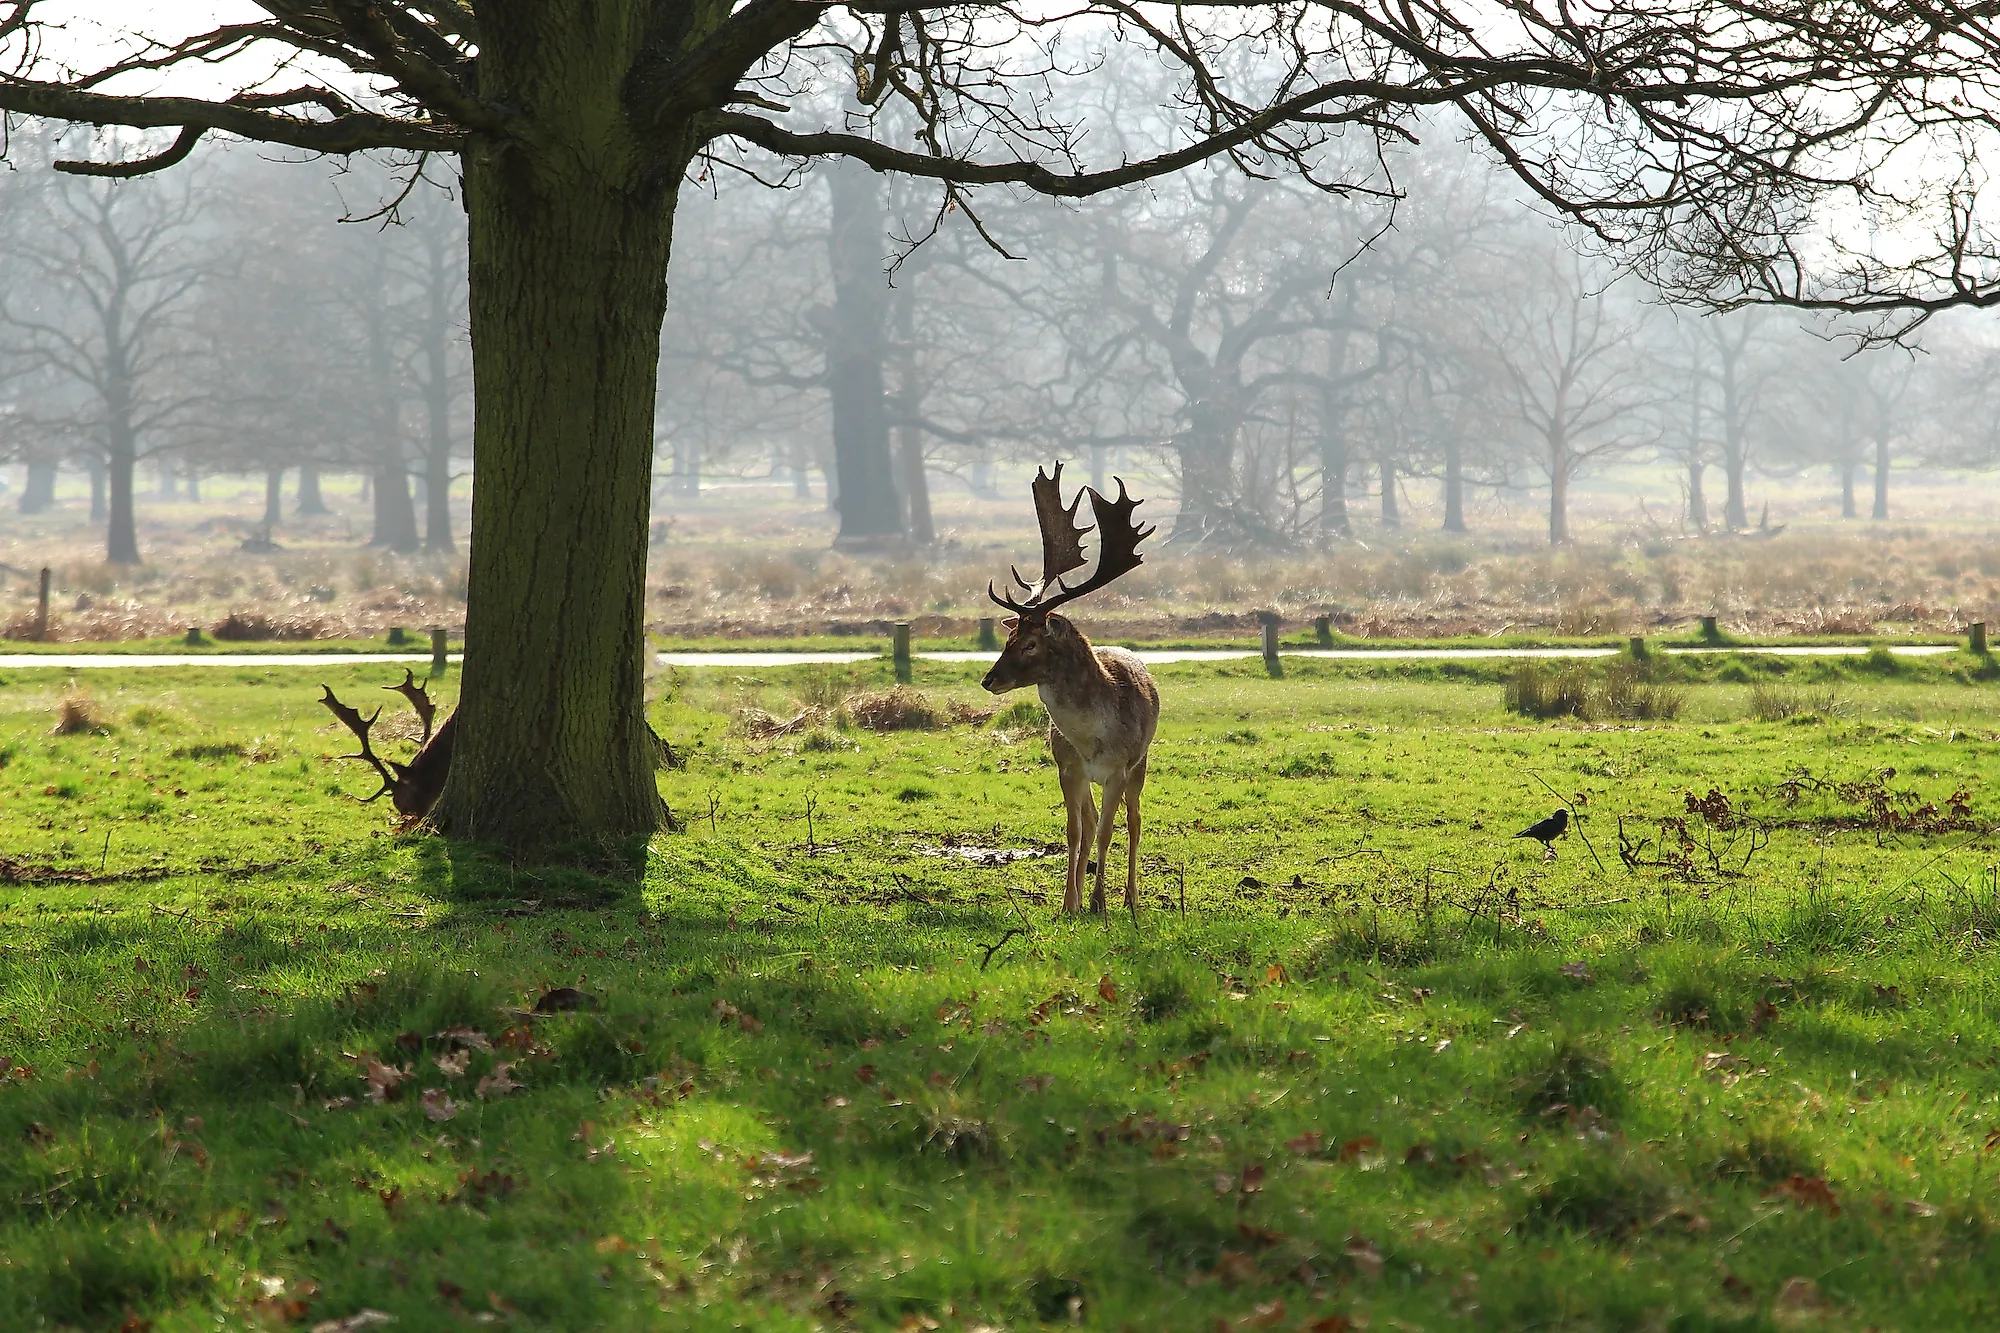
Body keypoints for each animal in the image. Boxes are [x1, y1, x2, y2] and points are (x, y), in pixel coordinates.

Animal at [980, 460, 1160, 912]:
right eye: (1008, 637)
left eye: (1030, 643)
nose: (989, 679)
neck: (1092, 740)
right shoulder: (1067, 767)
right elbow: (1076, 831)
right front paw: (1069, 903)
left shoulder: (1118, 769)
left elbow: (1109, 831)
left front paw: (1099, 903)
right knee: (1092, 820)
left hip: (1142, 762)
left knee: (1135, 821)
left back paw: (1130, 898)